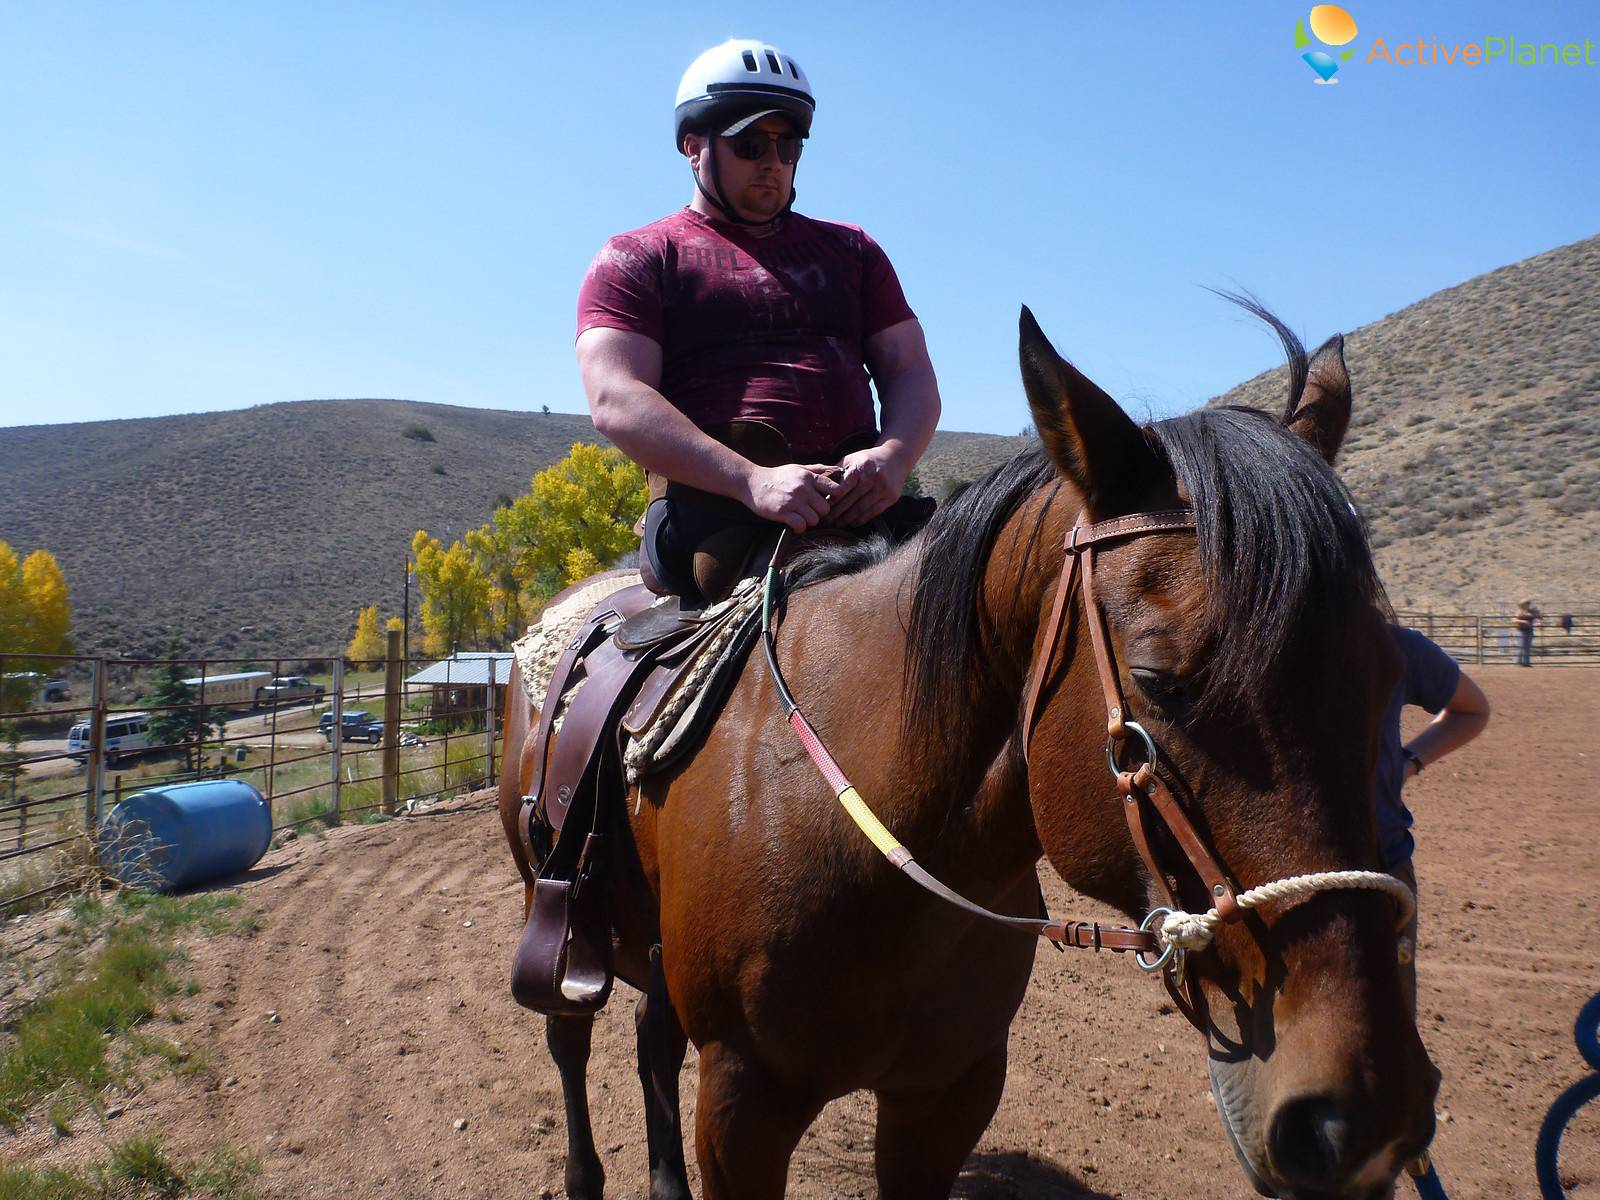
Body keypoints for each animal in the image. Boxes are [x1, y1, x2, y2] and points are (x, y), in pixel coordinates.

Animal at [496, 305, 1440, 1196]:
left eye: (1389, 677)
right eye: (1159, 681)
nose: (1362, 1119)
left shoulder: (947, 1095)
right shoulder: (740, 1106)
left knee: (651, 1036)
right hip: (558, 912)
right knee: (571, 1039)